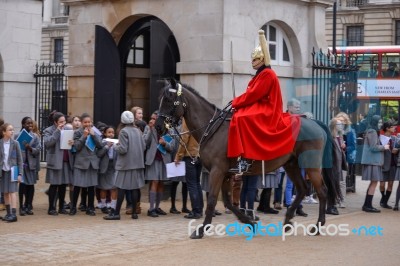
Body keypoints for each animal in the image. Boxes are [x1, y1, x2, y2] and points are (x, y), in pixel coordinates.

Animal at [155, 79, 340, 239]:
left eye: (169, 100)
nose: (157, 126)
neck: (213, 129)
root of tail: (315, 122)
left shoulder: (217, 171)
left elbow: (213, 200)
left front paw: (201, 230)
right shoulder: (226, 174)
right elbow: (229, 202)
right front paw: (250, 222)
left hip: (311, 166)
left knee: (322, 191)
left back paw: (317, 226)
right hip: (291, 165)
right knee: (302, 189)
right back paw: (288, 221)